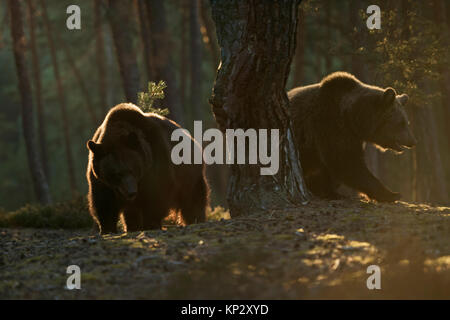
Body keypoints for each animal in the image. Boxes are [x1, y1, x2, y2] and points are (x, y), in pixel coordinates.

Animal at [86, 104, 209, 234]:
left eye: (132, 169)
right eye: (116, 174)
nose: (131, 192)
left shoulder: (156, 158)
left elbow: (157, 194)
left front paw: (150, 224)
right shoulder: (102, 180)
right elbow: (104, 203)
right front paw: (107, 229)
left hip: (189, 175)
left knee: (193, 199)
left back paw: (195, 219)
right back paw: (132, 226)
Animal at [290, 72, 416, 202]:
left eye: (407, 122)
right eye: (401, 123)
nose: (413, 141)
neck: (352, 118)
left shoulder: (352, 137)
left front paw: (331, 192)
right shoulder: (330, 126)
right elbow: (348, 163)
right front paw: (392, 194)